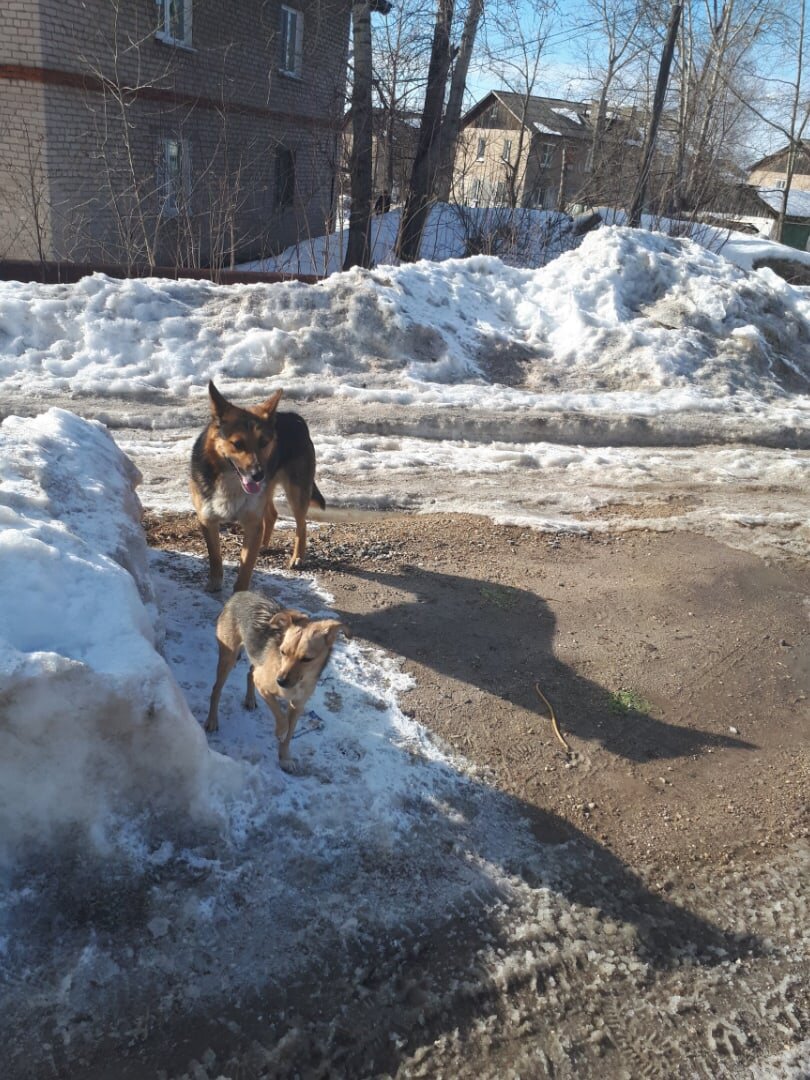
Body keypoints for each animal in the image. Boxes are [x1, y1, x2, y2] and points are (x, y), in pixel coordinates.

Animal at [190, 382, 326, 591]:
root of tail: (295, 417)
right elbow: (215, 556)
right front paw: (214, 582)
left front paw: (240, 593)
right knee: (271, 515)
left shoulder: (252, 522)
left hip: (296, 491)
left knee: (301, 524)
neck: (230, 481)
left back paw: (297, 557)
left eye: (264, 443)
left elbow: (246, 566)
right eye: (237, 444)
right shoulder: (207, 520)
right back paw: (264, 544)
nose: (258, 474)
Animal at [204, 591, 347, 768]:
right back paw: (212, 720)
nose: (280, 681)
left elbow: (289, 734)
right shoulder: (264, 687)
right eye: (283, 652)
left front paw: (284, 758)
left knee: (250, 673)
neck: (299, 682)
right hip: (228, 657)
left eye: (307, 659)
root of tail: (241, 594)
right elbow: (281, 718)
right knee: (217, 689)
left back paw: (250, 699)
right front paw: (280, 731)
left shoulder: (298, 706)